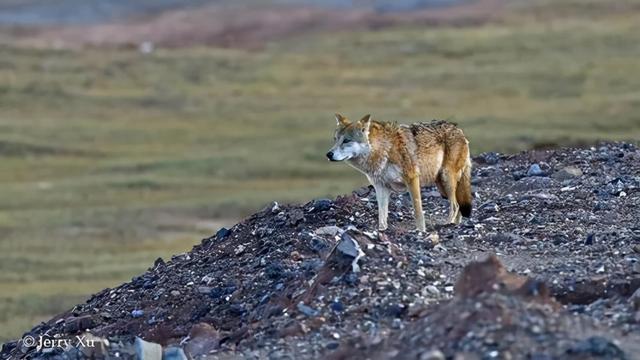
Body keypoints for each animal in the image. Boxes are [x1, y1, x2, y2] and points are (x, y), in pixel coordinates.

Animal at [330, 114, 470, 232]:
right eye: (335, 140)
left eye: (346, 140)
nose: (328, 154)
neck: (383, 149)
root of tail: (459, 130)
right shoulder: (381, 187)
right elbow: (382, 216)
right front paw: (382, 231)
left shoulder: (412, 179)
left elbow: (418, 212)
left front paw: (420, 231)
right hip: (441, 186)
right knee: (458, 207)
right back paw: (455, 225)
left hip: (446, 180)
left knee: (455, 206)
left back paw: (447, 225)